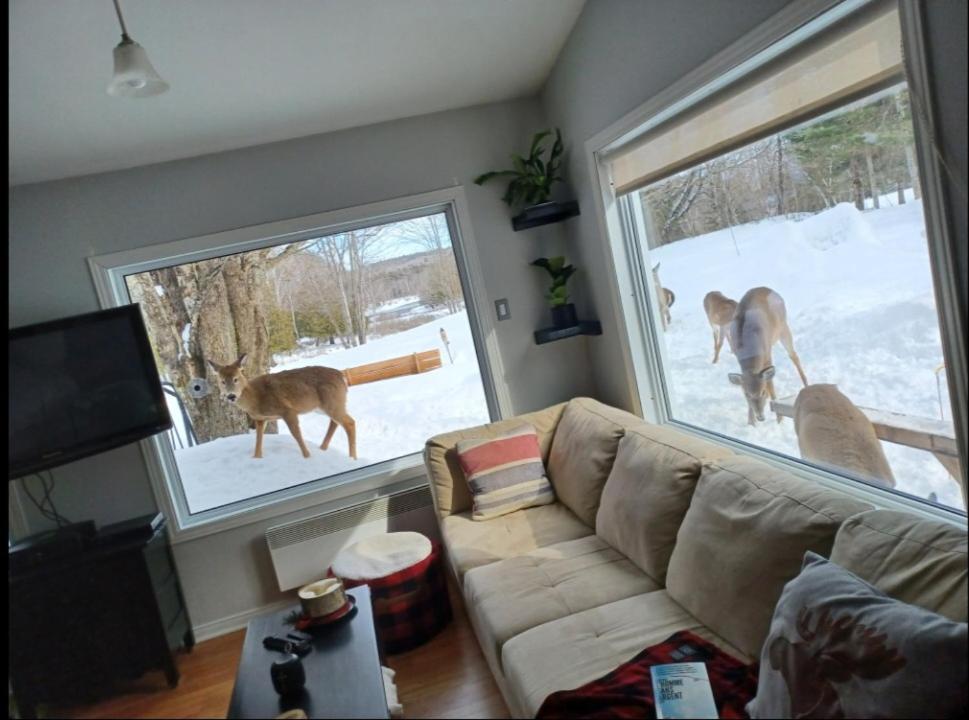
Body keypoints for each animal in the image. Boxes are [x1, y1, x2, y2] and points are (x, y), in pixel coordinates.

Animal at [206, 354, 358, 462]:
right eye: (222, 381)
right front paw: (256, 458)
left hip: (332, 401)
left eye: (236, 378)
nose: (231, 396)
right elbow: (258, 439)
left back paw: (353, 458)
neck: (256, 399)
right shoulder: (260, 419)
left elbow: (296, 434)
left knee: (349, 422)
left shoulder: (287, 410)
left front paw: (307, 456)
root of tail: (341, 375)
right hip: (325, 406)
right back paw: (323, 448)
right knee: (336, 422)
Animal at [728, 286, 808, 424]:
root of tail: (767, 288)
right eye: (747, 394)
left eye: (763, 392)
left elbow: (770, 382)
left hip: (783, 328)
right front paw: (750, 421)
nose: (760, 417)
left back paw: (806, 384)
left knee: (794, 356)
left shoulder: (767, 354)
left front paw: (779, 418)